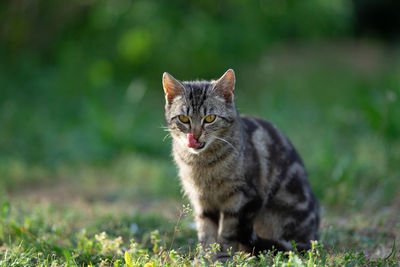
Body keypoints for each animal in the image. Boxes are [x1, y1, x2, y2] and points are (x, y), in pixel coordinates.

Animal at [162, 69, 318, 264]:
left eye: (210, 118)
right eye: (184, 118)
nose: (195, 136)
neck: (203, 164)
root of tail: (312, 237)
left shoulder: (241, 198)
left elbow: (228, 232)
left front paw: (223, 257)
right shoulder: (202, 201)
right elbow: (206, 232)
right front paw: (204, 258)